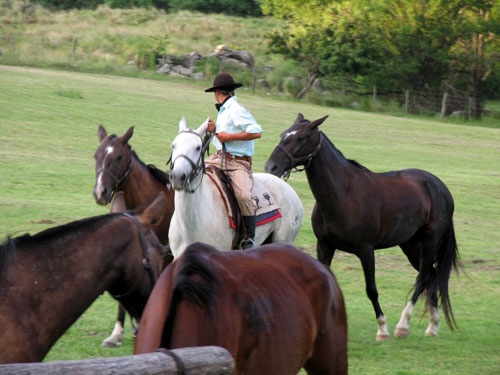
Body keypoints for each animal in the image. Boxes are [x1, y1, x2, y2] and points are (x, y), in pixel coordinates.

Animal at [168, 118, 304, 258]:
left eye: (198, 147)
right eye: (173, 145)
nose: (178, 176)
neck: (190, 224)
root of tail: (290, 190)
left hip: (284, 240)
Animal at [266, 114, 460, 340]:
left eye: (301, 138)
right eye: (283, 134)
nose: (271, 167)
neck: (343, 194)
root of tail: (441, 187)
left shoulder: (366, 250)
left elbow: (371, 289)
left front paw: (382, 328)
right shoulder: (324, 245)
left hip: (429, 242)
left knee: (423, 277)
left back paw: (403, 325)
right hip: (411, 246)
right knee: (431, 275)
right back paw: (432, 325)